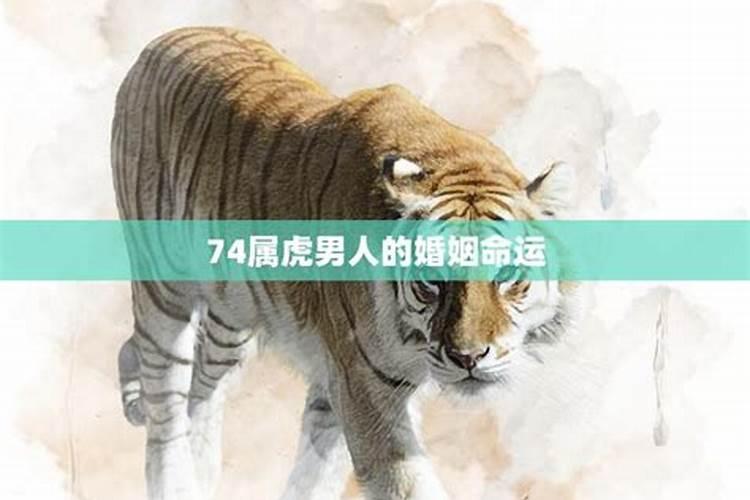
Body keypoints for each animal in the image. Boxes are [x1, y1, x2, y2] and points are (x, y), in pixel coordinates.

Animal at [112, 26, 578, 500]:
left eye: (507, 276)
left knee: (200, 386)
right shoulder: (364, 385)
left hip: (231, 316)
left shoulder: (339, 381)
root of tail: (162, 41)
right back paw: (174, 479)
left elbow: (316, 470)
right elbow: (405, 482)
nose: (467, 357)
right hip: (163, 292)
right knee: (164, 404)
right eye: (432, 280)